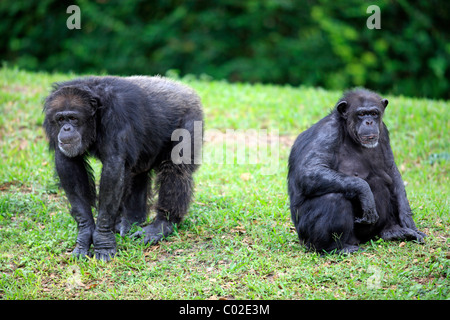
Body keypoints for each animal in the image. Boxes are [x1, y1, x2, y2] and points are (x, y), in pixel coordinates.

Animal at [43, 76, 202, 262]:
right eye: (60, 119)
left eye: (73, 118)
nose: (66, 128)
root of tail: (185, 88)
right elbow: (68, 164)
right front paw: (85, 234)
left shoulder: (116, 115)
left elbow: (113, 167)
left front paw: (103, 240)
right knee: (137, 172)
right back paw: (131, 220)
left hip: (190, 118)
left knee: (176, 170)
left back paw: (161, 225)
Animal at [288, 89, 426, 254]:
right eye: (361, 114)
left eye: (374, 113)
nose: (369, 122)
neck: (348, 131)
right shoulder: (327, 132)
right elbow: (309, 171)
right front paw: (365, 192)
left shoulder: (384, 132)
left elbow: (391, 170)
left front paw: (408, 220)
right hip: (307, 236)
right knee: (333, 199)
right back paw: (335, 248)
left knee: (381, 182)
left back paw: (393, 231)